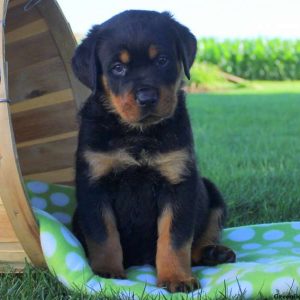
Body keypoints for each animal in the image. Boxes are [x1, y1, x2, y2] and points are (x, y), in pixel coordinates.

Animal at [71, 10, 236, 292]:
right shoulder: (94, 185)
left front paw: (177, 278)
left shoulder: (178, 184)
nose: (147, 98)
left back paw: (213, 252)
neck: (139, 135)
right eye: (117, 68)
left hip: (211, 192)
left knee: (201, 237)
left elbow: (175, 238)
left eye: (162, 60)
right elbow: (103, 235)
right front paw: (107, 273)